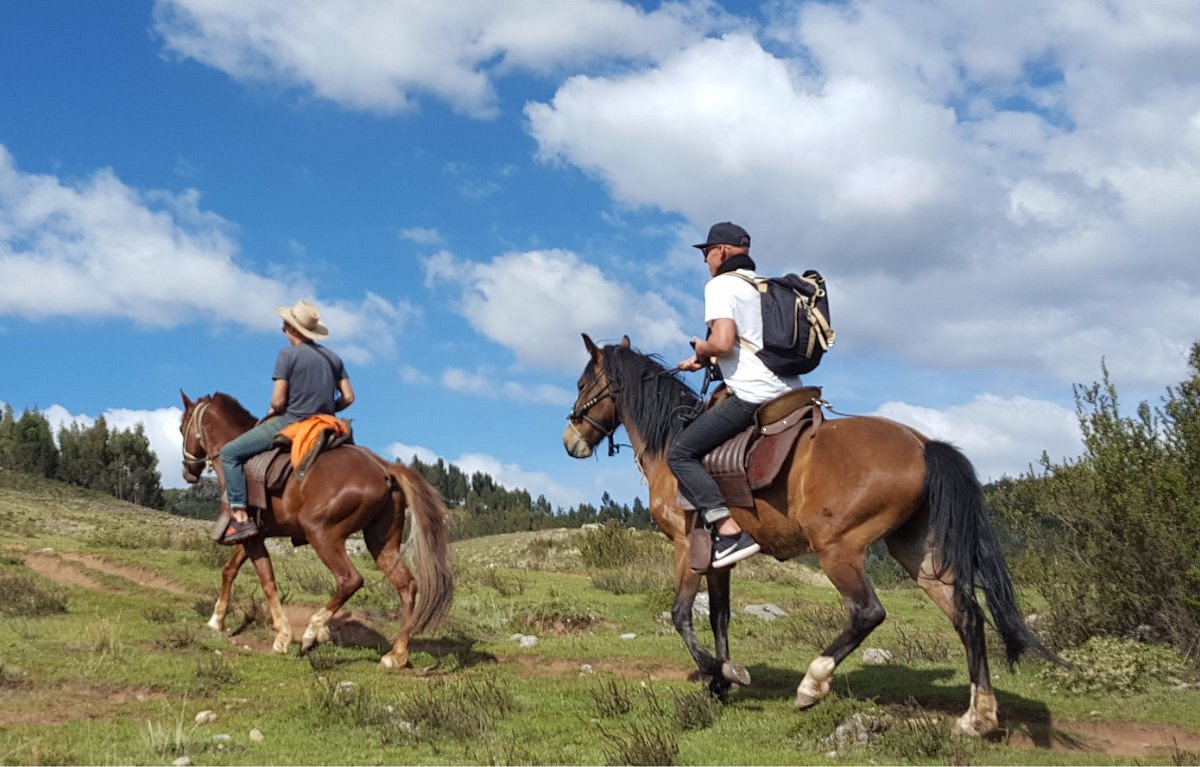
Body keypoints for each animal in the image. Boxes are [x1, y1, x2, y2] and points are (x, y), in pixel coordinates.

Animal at [178, 388, 453, 667]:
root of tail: (384, 468)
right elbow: (230, 570)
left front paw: (282, 636)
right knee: (407, 586)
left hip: (322, 534)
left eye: (181, 428)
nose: (188, 471)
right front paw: (217, 619)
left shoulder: (252, 536)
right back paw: (396, 654)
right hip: (381, 542)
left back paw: (312, 632)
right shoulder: (254, 533)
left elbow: (267, 580)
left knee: (350, 580)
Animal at [566, 336, 1046, 739]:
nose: (570, 439)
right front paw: (723, 678)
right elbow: (719, 616)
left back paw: (812, 684)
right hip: (918, 553)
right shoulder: (719, 556)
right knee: (967, 616)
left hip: (837, 548)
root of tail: (922, 444)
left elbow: (682, 615)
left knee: (867, 613)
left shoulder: (688, 548)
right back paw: (977, 717)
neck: (671, 445)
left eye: (582, 382)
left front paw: (720, 673)